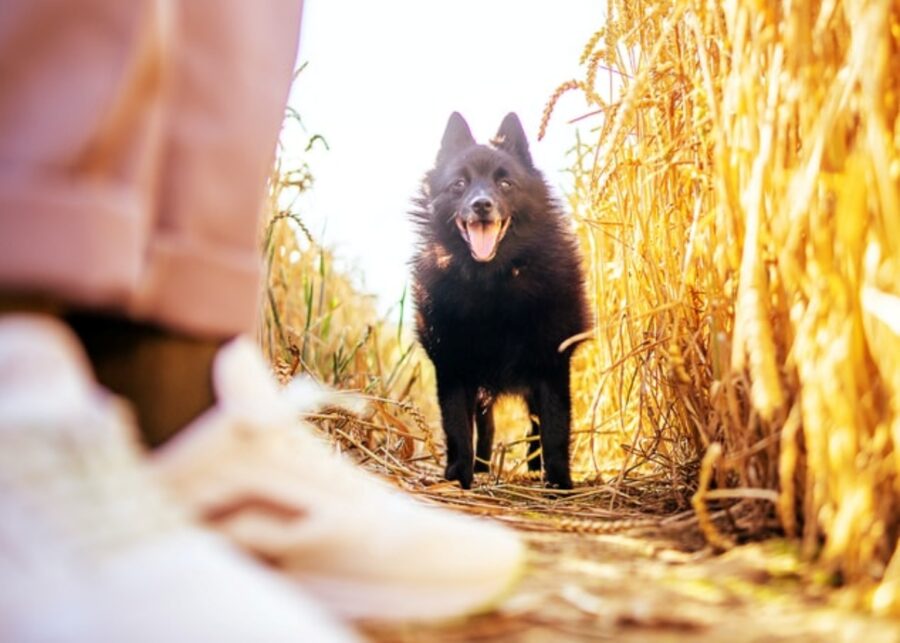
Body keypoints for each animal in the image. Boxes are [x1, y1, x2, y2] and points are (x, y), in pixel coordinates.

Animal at [408, 113, 592, 490]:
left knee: (535, 427)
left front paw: (559, 483)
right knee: (486, 425)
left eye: (505, 184)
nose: (482, 204)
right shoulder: (453, 367)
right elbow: (457, 429)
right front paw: (459, 478)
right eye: (459, 184)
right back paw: (481, 467)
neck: (491, 285)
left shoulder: (552, 364)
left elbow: (554, 427)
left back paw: (535, 469)